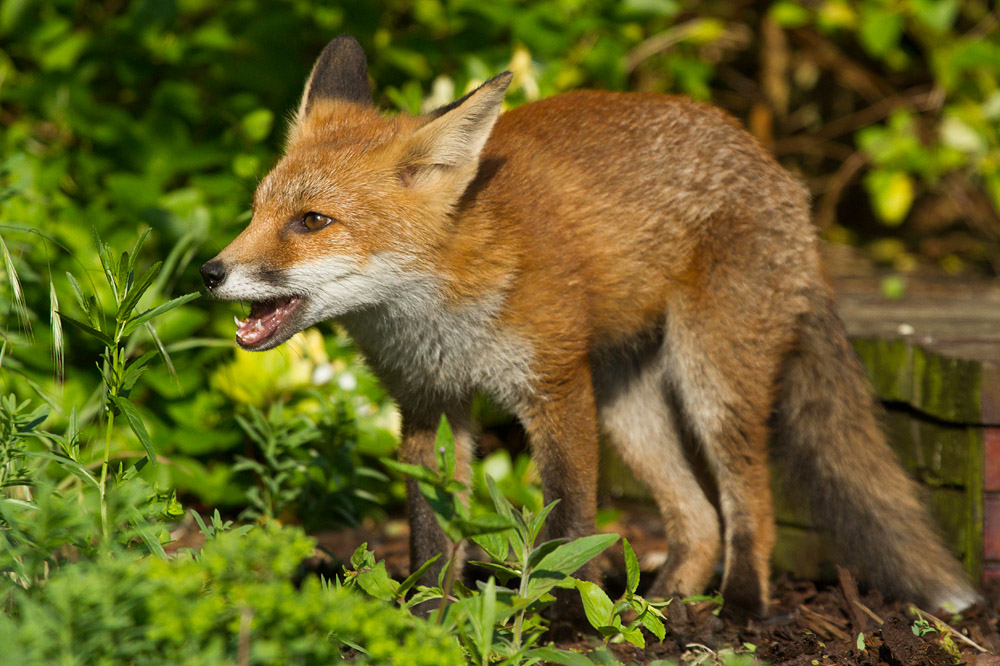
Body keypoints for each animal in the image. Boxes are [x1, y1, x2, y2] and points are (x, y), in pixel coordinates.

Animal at [201, 35, 978, 616]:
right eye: (257, 211)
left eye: (312, 222)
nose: (209, 272)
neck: (440, 311)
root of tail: (779, 172)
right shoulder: (429, 403)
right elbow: (431, 529)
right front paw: (431, 617)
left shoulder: (553, 386)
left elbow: (568, 520)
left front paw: (566, 620)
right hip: (629, 405)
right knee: (698, 520)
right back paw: (662, 606)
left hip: (709, 382)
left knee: (746, 500)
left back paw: (739, 610)